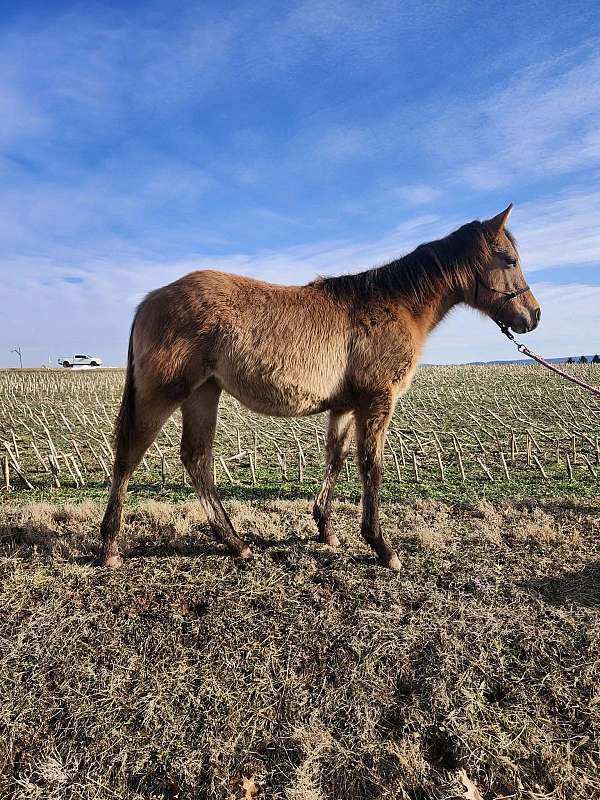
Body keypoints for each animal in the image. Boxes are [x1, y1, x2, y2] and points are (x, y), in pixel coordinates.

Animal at [100, 204, 540, 570]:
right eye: (510, 260)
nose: (534, 316)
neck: (394, 303)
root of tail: (150, 300)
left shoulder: (345, 406)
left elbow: (336, 460)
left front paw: (325, 529)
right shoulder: (376, 402)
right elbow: (371, 467)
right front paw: (381, 546)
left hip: (203, 393)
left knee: (196, 459)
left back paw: (236, 543)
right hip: (163, 394)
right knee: (129, 454)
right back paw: (110, 547)